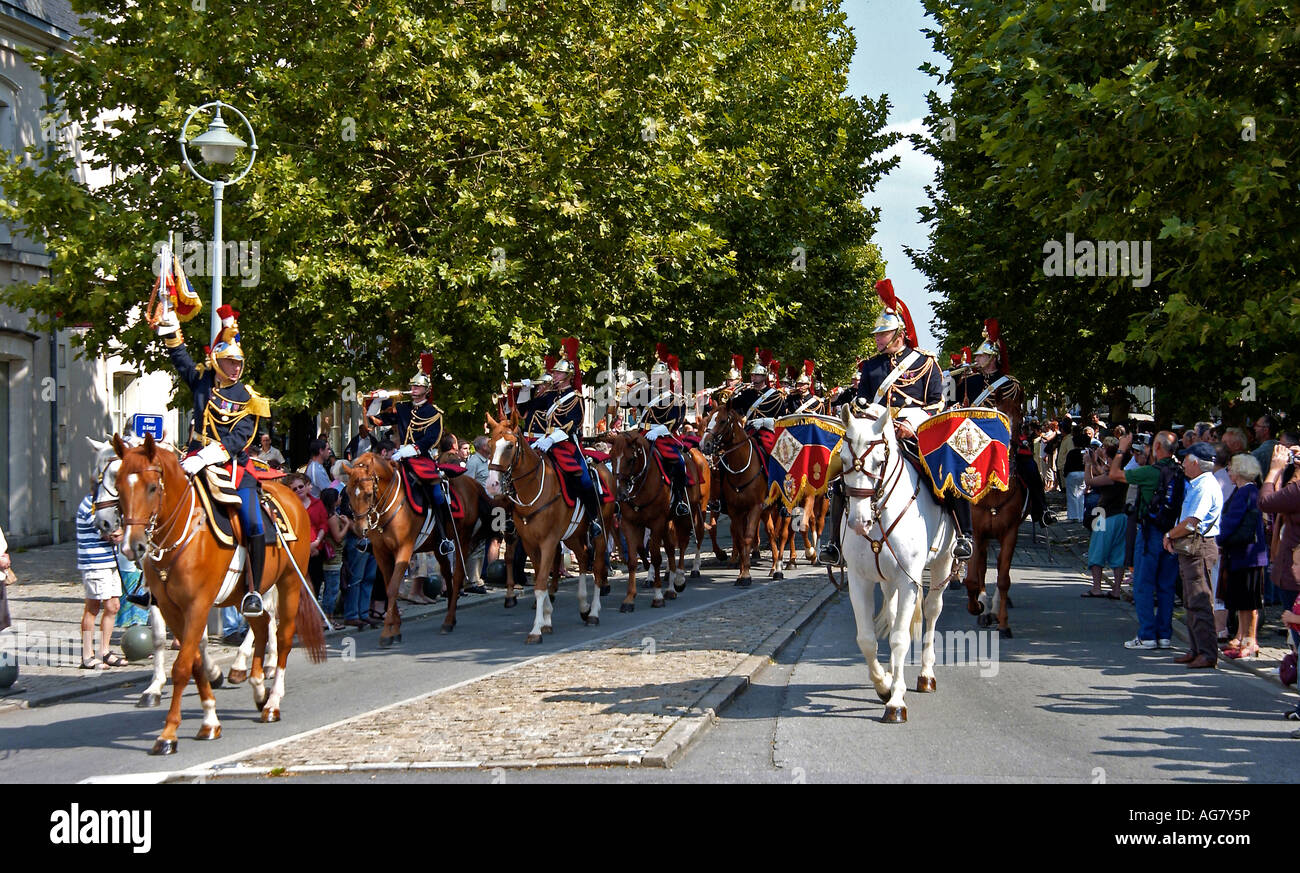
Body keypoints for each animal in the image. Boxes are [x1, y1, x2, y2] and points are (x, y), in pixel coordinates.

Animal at [87, 433, 276, 706]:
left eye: (114, 474)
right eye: (98, 477)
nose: (103, 522)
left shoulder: (199, 595)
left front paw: (212, 672)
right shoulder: (160, 595)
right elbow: (161, 638)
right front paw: (157, 686)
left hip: (261, 581)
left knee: (266, 613)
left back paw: (250, 665)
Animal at [115, 433, 323, 753]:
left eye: (152, 487)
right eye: (118, 486)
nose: (130, 546)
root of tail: (289, 492)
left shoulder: (197, 605)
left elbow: (182, 666)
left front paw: (168, 734)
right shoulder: (170, 608)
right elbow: (194, 661)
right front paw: (210, 720)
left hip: (289, 583)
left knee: (283, 636)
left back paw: (272, 701)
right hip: (245, 595)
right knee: (262, 627)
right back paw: (257, 687)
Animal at [348, 454, 493, 644]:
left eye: (368, 494)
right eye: (348, 493)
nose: (359, 529)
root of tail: (473, 483)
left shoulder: (404, 549)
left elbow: (393, 588)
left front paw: (387, 633)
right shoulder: (381, 553)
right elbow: (388, 587)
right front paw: (395, 628)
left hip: (463, 539)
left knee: (457, 576)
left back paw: (448, 621)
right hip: (439, 548)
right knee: (447, 575)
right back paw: (451, 616)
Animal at [486, 410, 616, 641]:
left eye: (509, 446)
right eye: (490, 444)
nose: (492, 485)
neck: (532, 489)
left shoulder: (548, 541)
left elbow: (540, 584)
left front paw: (536, 629)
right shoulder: (530, 543)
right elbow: (541, 577)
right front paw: (546, 618)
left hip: (602, 530)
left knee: (598, 567)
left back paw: (593, 612)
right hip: (573, 535)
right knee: (584, 557)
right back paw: (583, 605)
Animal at [837, 405, 951, 722]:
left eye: (879, 461)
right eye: (843, 459)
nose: (858, 522)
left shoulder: (908, 580)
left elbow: (900, 638)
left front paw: (896, 701)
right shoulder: (859, 580)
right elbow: (866, 638)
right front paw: (884, 685)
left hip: (944, 562)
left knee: (932, 611)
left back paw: (926, 676)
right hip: (887, 581)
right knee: (889, 612)